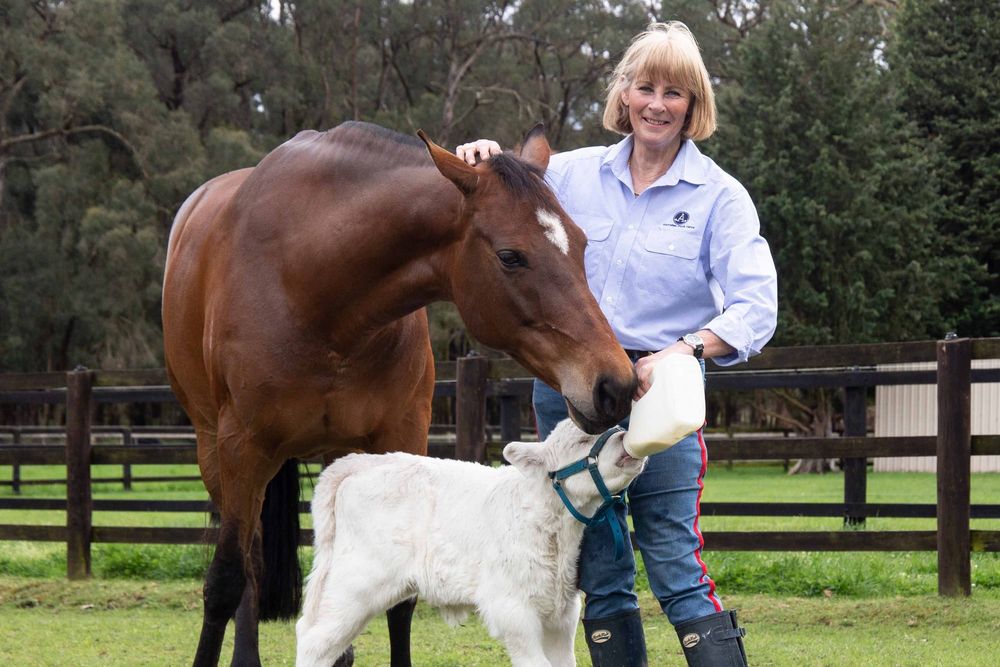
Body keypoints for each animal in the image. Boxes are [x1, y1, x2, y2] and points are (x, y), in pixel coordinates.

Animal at [161, 121, 636, 667]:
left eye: (580, 243)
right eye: (510, 256)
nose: (616, 384)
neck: (313, 287)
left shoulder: (401, 437)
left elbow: (402, 602)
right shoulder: (241, 449)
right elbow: (224, 581)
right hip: (216, 454)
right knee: (249, 566)